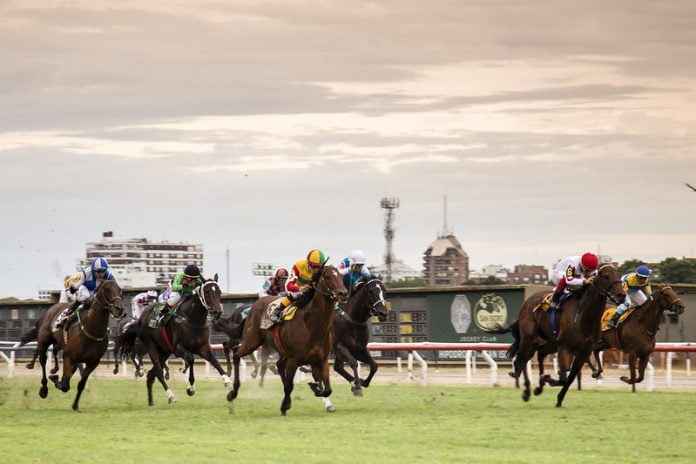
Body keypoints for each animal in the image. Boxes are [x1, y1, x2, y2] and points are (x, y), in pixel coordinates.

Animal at [18, 280, 124, 410]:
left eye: (120, 290)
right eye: (107, 289)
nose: (119, 309)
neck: (92, 328)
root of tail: (48, 311)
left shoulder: (93, 362)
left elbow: (80, 383)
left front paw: (75, 405)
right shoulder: (69, 356)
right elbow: (64, 385)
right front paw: (55, 379)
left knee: (55, 353)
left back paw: (54, 370)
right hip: (44, 341)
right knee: (43, 360)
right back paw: (44, 388)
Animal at [119, 276, 226, 406]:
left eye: (219, 291)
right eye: (207, 292)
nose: (218, 312)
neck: (192, 319)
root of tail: (140, 319)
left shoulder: (203, 347)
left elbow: (214, 360)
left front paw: (227, 380)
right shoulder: (177, 348)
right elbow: (191, 358)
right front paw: (191, 388)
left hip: (164, 351)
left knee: (151, 375)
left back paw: (151, 402)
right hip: (150, 346)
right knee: (158, 372)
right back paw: (170, 395)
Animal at [228, 264, 348, 416]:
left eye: (341, 276)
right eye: (327, 277)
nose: (343, 293)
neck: (311, 324)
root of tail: (254, 305)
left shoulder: (322, 360)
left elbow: (327, 389)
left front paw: (315, 388)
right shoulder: (294, 360)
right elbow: (289, 386)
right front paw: (284, 406)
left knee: (277, 364)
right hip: (252, 340)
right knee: (237, 353)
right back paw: (233, 392)